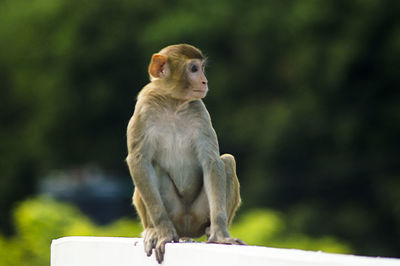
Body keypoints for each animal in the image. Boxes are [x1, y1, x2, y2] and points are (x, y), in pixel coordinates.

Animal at [126, 43, 244, 264]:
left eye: (202, 68)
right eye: (194, 69)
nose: (205, 81)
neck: (173, 103)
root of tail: (186, 229)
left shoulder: (200, 111)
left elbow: (211, 161)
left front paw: (220, 234)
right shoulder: (143, 109)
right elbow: (139, 161)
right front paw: (163, 231)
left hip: (198, 214)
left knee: (227, 162)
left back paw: (210, 230)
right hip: (175, 213)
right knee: (152, 167)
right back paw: (153, 230)